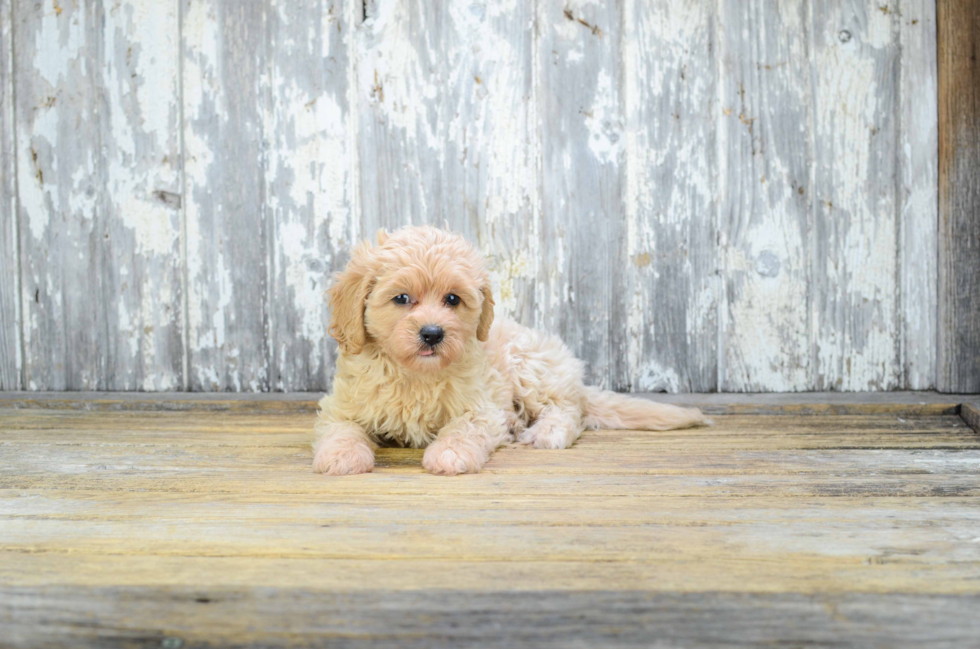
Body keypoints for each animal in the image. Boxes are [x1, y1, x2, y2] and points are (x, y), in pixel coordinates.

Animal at [314, 224, 704, 476]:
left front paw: (450, 453)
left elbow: (463, 428)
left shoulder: (481, 408)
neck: (414, 374)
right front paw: (342, 456)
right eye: (401, 298)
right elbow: (341, 429)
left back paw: (545, 433)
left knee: (569, 411)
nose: (432, 333)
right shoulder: (343, 405)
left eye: (452, 299)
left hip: (530, 366)